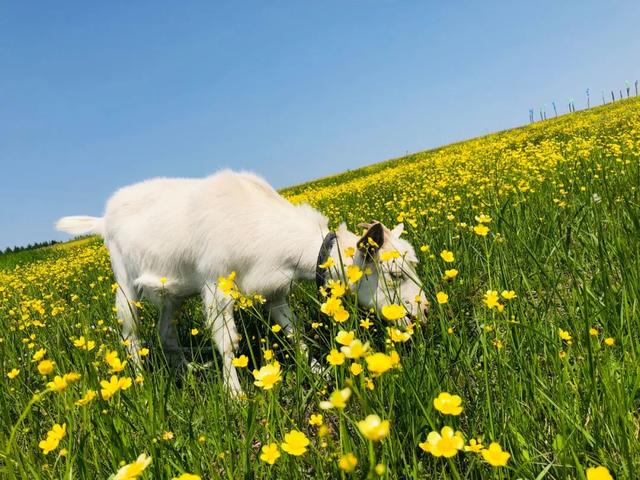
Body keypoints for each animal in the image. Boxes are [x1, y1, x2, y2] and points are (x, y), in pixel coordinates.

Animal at [55, 171, 424, 396]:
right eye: (394, 275)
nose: (422, 313)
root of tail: (102, 219)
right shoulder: (216, 286)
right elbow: (229, 342)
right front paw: (235, 395)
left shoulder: (274, 290)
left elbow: (294, 332)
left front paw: (318, 370)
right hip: (124, 282)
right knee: (131, 332)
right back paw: (140, 379)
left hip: (173, 292)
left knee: (165, 332)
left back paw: (190, 368)